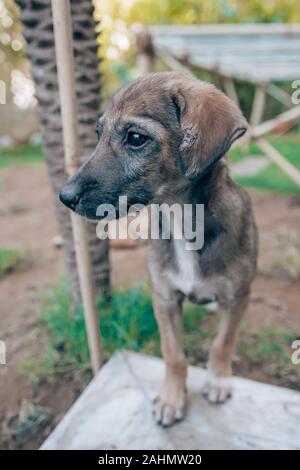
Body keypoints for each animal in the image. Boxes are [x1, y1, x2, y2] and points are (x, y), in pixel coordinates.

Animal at [59, 71, 256, 428]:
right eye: (97, 134)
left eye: (136, 138)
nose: (64, 197)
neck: (183, 223)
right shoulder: (164, 297)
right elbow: (173, 354)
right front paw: (171, 399)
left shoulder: (239, 296)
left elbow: (223, 343)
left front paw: (218, 380)